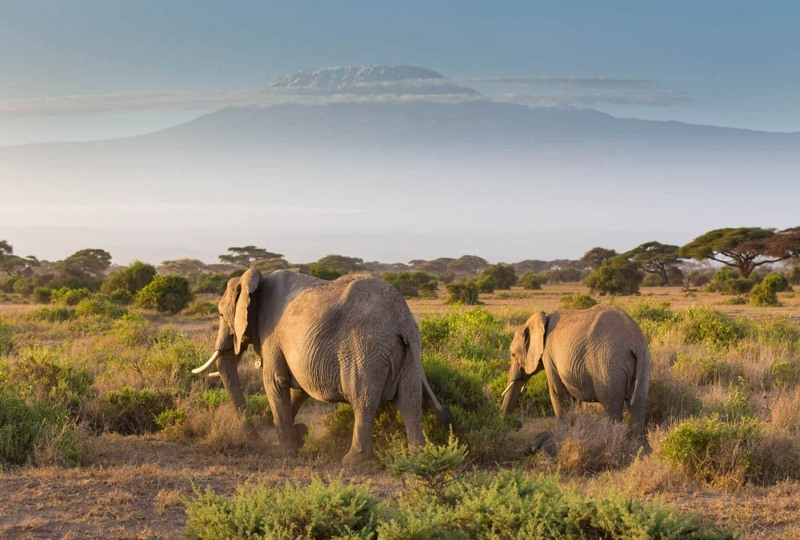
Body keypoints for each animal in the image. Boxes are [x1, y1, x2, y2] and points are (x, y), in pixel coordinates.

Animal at [188, 268, 450, 462]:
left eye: (221, 315)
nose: (256, 441)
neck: (257, 280)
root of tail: (402, 317)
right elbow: (300, 388)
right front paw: (299, 434)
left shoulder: (272, 335)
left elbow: (275, 382)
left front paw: (285, 452)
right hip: (408, 353)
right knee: (410, 399)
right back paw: (419, 458)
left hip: (367, 349)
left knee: (364, 399)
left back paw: (352, 462)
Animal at [500, 304, 648, 442]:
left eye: (513, 355)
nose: (517, 425)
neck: (541, 319)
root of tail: (634, 342)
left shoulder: (549, 355)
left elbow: (558, 393)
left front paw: (561, 436)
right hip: (642, 362)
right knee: (638, 405)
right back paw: (636, 446)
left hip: (608, 366)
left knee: (613, 408)